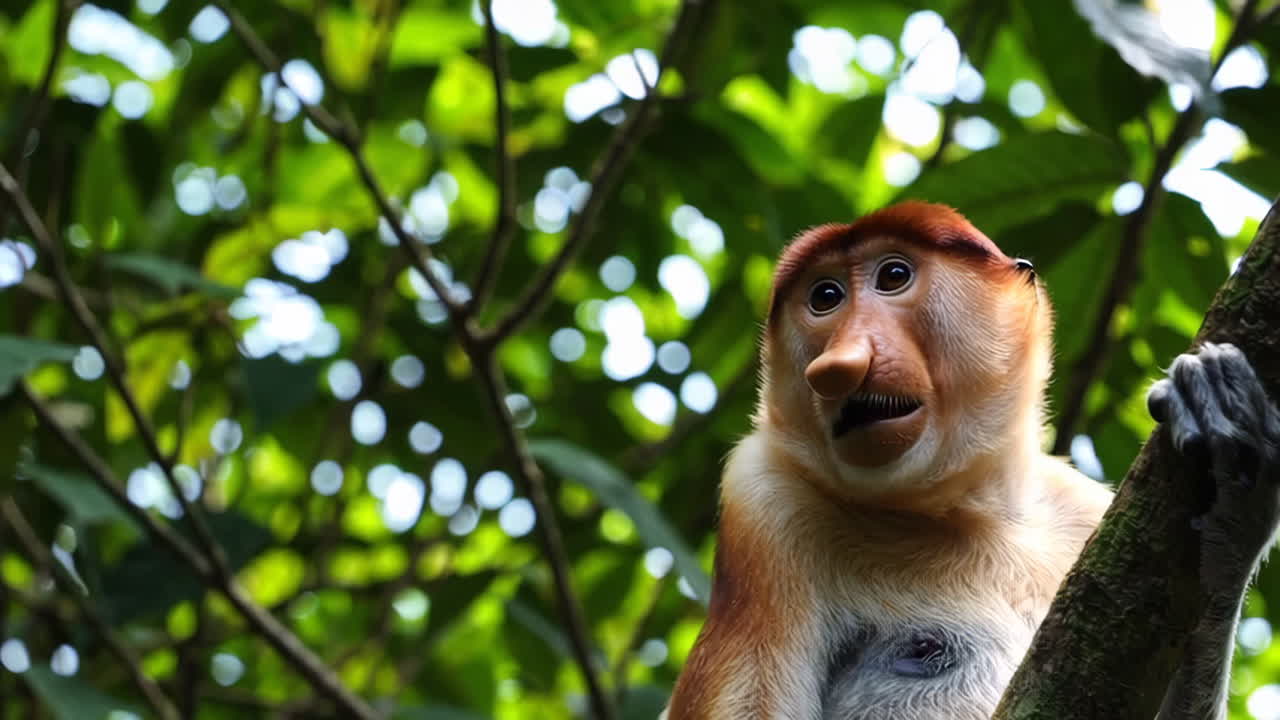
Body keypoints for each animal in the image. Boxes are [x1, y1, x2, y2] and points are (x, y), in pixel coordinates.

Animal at [664, 202, 1280, 720]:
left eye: (893, 276)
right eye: (825, 297)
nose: (838, 365)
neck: (965, 507)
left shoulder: (1082, 508)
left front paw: (1234, 508)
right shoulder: (763, 499)